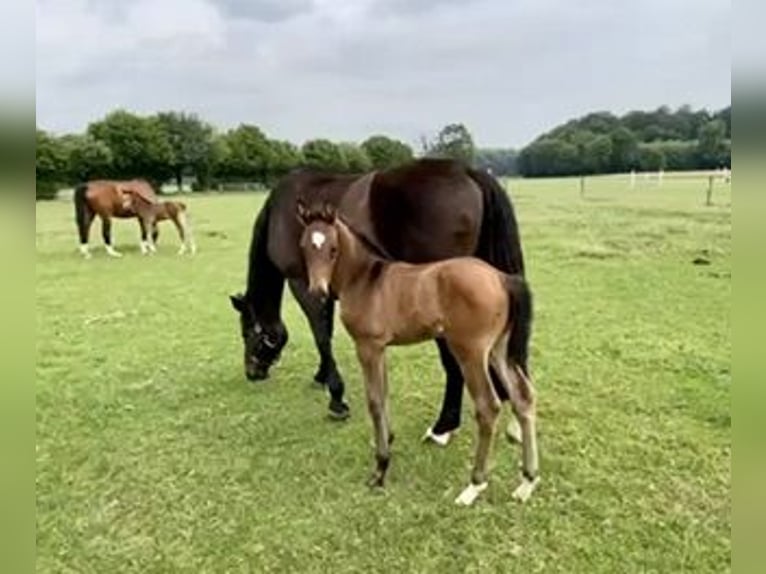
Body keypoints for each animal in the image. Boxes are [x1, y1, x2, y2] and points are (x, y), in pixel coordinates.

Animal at [230, 160, 528, 444]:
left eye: (246, 332)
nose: (252, 372)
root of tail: (467, 171)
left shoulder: (303, 285)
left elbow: (321, 335)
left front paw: (336, 399)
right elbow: (326, 331)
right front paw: (322, 376)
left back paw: (443, 426)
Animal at [296, 204, 544, 508]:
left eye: (333, 249)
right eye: (304, 246)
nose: (317, 291)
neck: (365, 279)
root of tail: (501, 277)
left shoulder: (367, 346)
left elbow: (374, 401)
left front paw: (380, 469)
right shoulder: (381, 348)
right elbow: (384, 394)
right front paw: (387, 440)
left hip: (470, 352)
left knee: (488, 406)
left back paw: (474, 486)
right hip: (499, 349)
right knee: (523, 397)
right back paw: (527, 482)